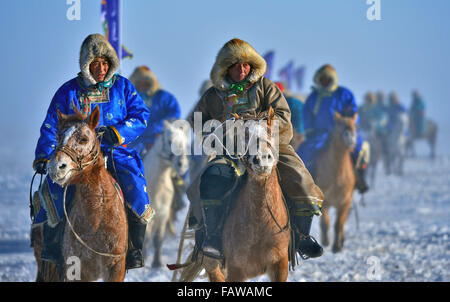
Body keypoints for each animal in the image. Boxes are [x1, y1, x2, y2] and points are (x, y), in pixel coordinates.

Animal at [142, 119, 188, 268]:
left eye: (184, 143)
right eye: (169, 141)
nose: (181, 164)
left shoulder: (163, 214)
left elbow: (158, 238)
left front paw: (157, 262)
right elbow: (147, 237)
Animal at [176, 107, 288, 282]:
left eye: (271, 132)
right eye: (245, 135)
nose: (262, 159)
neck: (261, 223)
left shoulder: (280, 265)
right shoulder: (236, 269)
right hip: (213, 263)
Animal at [316, 112, 358, 254]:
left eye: (355, 125)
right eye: (339, 124)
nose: (351, 138)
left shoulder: (345, 202)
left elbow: (339, 224)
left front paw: (337, 246)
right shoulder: (324, 202)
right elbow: (326, 223)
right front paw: (326, 242)